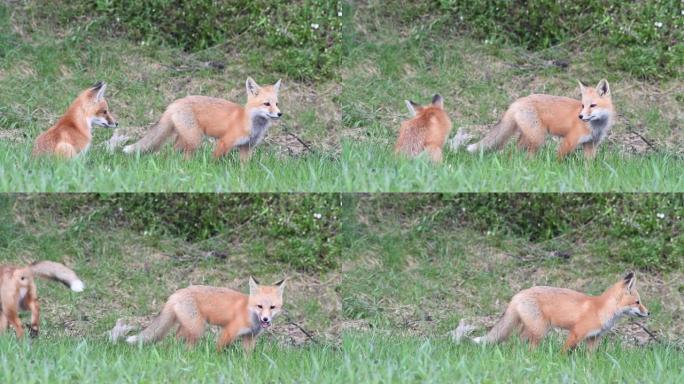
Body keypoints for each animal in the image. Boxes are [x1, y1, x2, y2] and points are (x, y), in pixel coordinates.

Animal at [121, 79, 282, 160]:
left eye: (276, 104)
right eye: (266, 104)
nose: (280, 114)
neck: (252, 126)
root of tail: (175, 103)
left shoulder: (246, 148)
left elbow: (244, 169)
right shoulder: (224, 142)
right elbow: (214, 161)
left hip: (185, 138)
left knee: (172, 151)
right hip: (195, 140)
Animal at [123, 278, 284, 352]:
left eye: (272, 307)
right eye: (259, 306)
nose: (265, 319)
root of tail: (176, 293)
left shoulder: (249, 338)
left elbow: (247, 358)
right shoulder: (228, 331)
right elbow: (219, 350)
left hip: (188, 327)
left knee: (175, 340)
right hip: (198, 329)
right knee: (187, 345)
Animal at [464, 79, 616, 159]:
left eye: (593, 105)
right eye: (583, 106)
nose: (580, 116)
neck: (596, 127)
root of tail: (518, 101)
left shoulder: (591, 145)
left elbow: (588, 167)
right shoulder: (569, 141)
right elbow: (559, 159)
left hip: (529, 137)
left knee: (514, 151)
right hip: (538, 137)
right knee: (527, 154)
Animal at [468, 272, 648, 352]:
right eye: (638, 302)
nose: (649, 313)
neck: (601, 310)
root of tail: (518, 294)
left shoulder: (593, 339)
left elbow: (591, 358)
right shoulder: (576, 333)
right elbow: (564, 351)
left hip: (533, 328)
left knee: (518, 340)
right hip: (540, 330)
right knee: (527, 344)